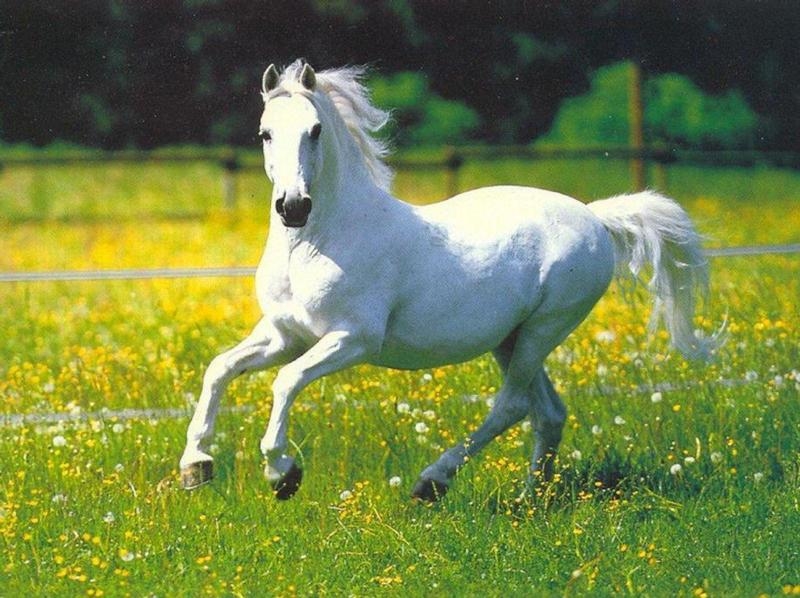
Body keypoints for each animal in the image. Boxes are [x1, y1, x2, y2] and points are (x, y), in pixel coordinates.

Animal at [179, 60, 719, 501]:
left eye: (314, 130)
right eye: (265, 133)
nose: (293, 207)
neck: (317, 243)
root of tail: (595, 217)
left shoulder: (352, 339)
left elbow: (286, 381)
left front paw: (283, 474)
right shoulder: (284, 334)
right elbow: (219, 369)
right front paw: (196, 466)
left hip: (544, 328)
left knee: (512, 406)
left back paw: (433, 482)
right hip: (511, 338)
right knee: (548, 413)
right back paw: (531, 500)